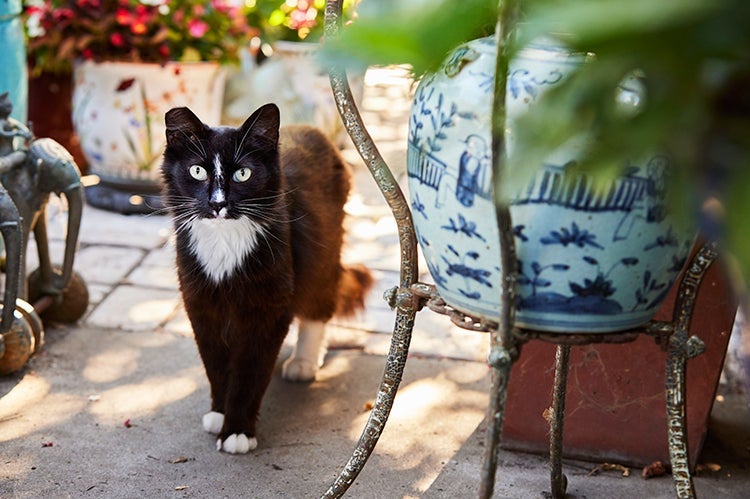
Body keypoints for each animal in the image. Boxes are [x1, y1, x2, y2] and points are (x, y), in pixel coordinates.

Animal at [165, 104, 376, 454]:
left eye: (243, 174)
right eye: (197, 171)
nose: (218, 203)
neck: (225, 243)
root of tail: (315, 131)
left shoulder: (268, 310)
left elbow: (249, 373)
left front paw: (237, 431)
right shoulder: (201, 305)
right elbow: (216, 366)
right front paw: (219, 413)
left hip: (321, 257)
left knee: (319, 308)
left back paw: (304, 361)